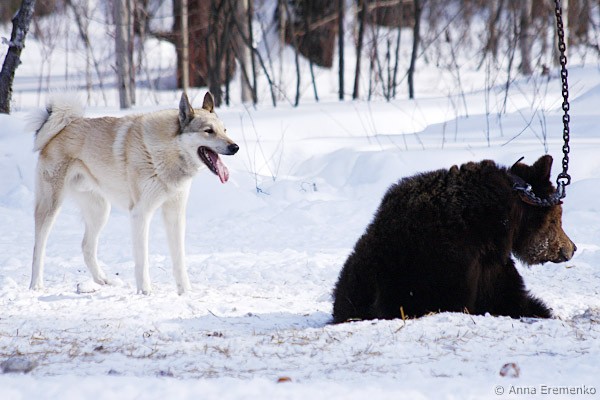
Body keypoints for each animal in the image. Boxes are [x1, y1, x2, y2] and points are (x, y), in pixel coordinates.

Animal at [29, 92, 238, 294]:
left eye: (225, 130)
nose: (235, 147)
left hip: (100, 211)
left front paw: (185, 291)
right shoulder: (140, 214)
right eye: (208, 131)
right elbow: (142, 259)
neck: (168, 151)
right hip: (51, 207)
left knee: (86, 246)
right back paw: (36, 285)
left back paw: (103, 280)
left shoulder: (174, 215)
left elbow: (179, 259)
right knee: (38, 247)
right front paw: (145, 290)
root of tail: (62, 128)